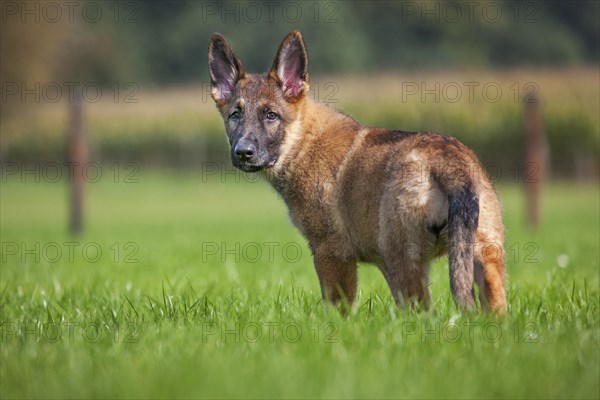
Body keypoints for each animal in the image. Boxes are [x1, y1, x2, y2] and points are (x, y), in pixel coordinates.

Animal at [207, 29, 506, 314]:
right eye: (235, 115)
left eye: (271, 115)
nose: (243, 152)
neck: (301, 140)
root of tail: (449, 159)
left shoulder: (332, 251)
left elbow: (338, 308)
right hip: (484, 254)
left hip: (403, 256)